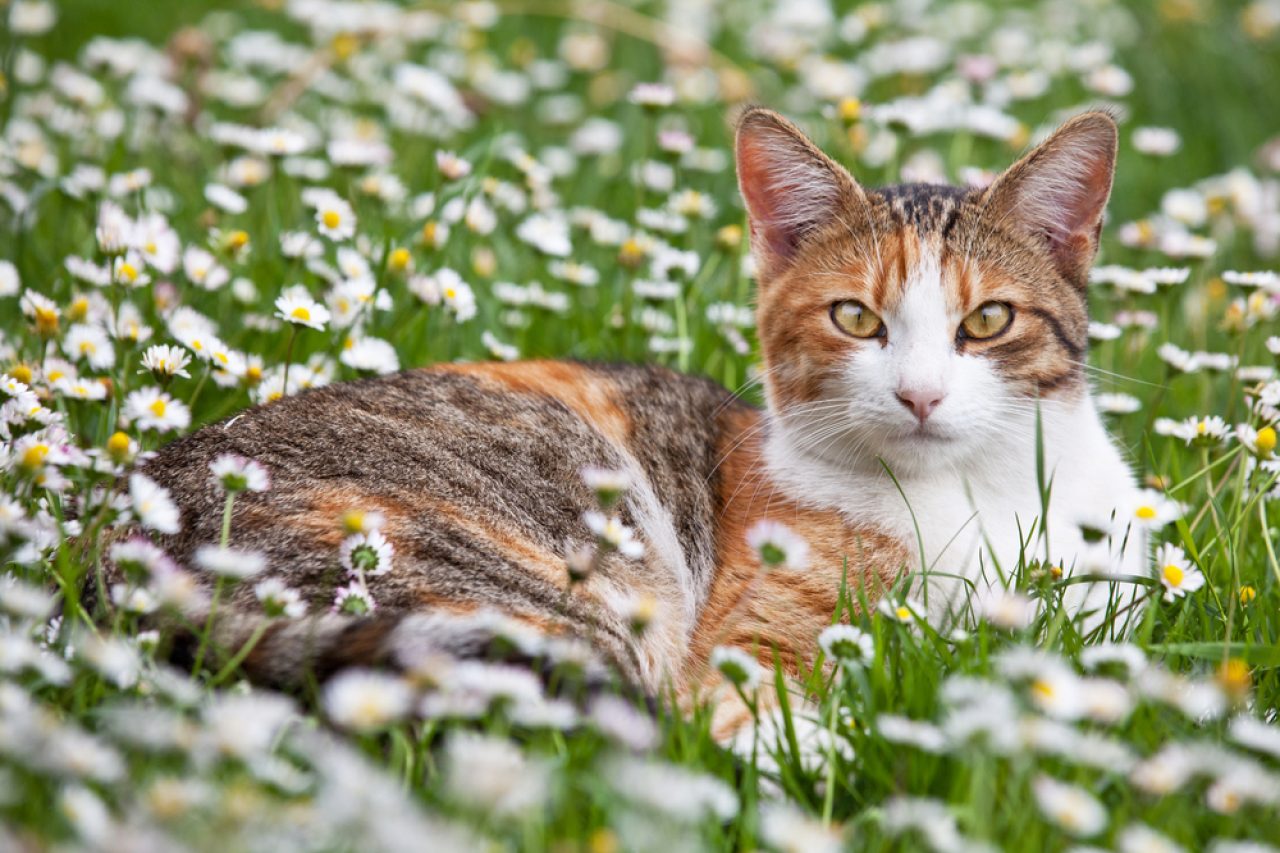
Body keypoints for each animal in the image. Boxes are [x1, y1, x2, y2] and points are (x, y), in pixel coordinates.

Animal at [117, 106, 1141, 742]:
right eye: (856, 318)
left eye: (989, 320)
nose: (921, 395)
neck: (968, 498)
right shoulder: (743, 646)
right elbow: (761, 724)